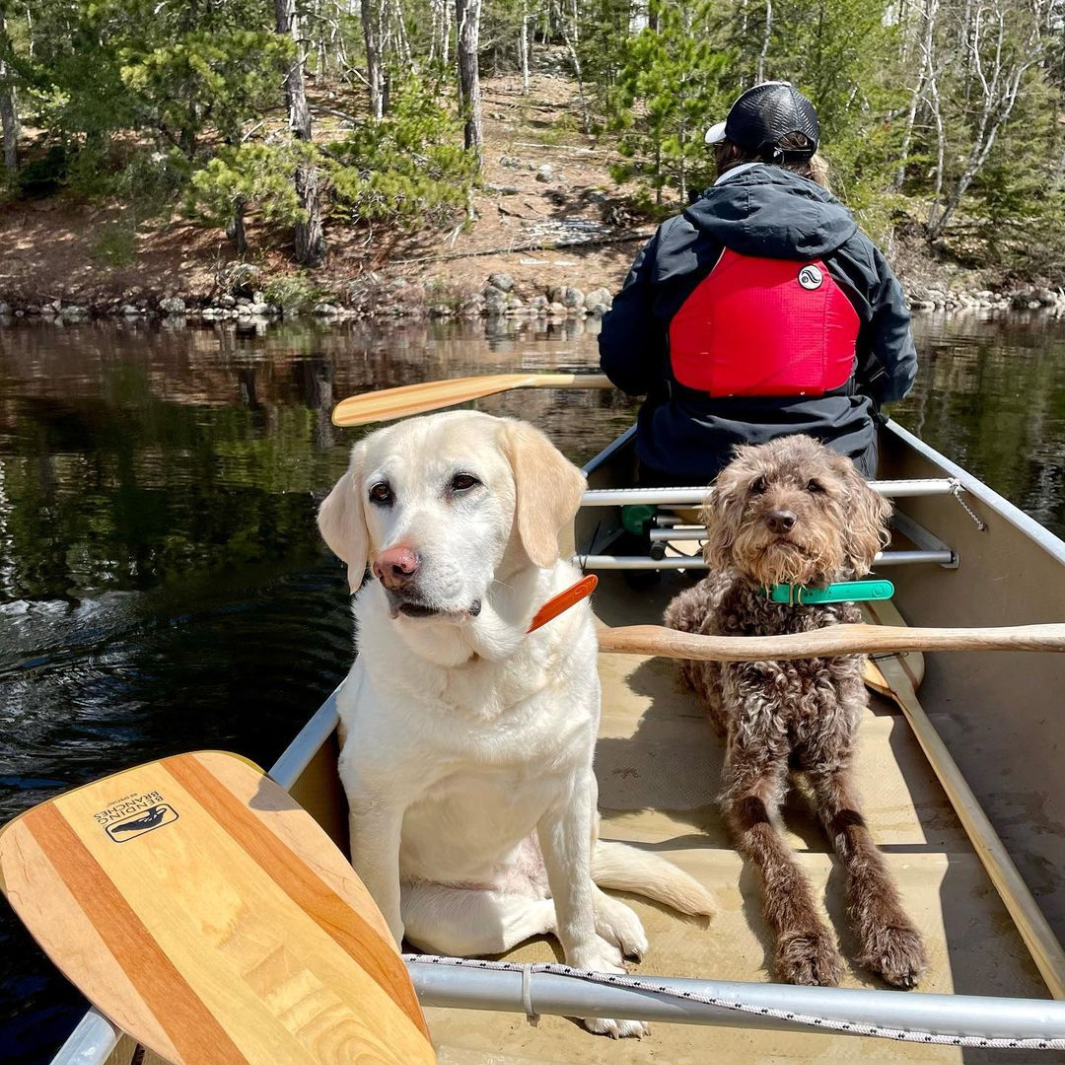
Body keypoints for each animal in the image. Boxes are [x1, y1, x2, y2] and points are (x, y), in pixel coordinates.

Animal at [315, 411, 715, 1035]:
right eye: (380, 494)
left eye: (464, 483)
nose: (391, 567)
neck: (483, 663)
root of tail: (519, 875)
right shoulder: (377, 805)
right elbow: (385, 916)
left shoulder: (569, 789)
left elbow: (576, 902)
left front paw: (592, 979)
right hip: (459, 922)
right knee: (536, 909)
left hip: (587, 802)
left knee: (575, 886)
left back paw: (613, 921)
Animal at [660, 434, 928, 988]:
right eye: (759, 484)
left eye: (815, 486)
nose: (780, 519)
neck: (792, 624)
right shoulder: (752, 773)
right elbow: (779, 860)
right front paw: (807, 940)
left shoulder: (834, 762)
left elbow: (863, 844)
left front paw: (893, 931)